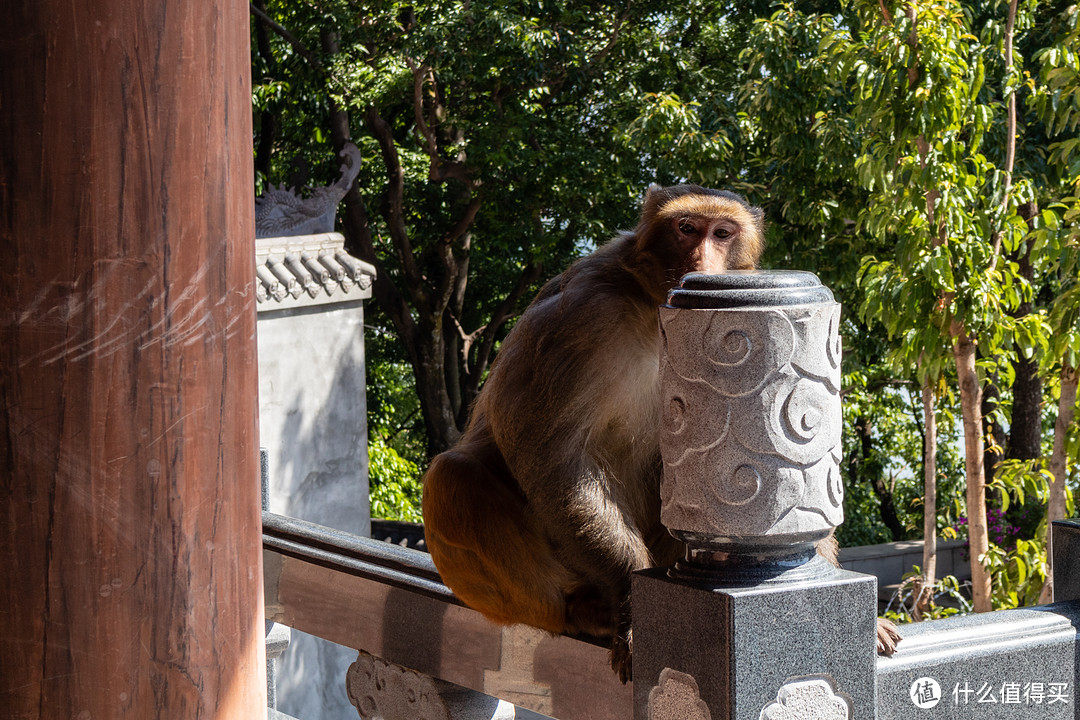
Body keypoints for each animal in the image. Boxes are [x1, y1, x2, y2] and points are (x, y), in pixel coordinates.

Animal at [421, 184, 902, 682]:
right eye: (686, 228)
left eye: (722, 233)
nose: (702, 260)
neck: (648, 300)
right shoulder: (579, 316)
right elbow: (551, 457)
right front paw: (633, 610)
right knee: (454, 477)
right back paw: (581, 609)